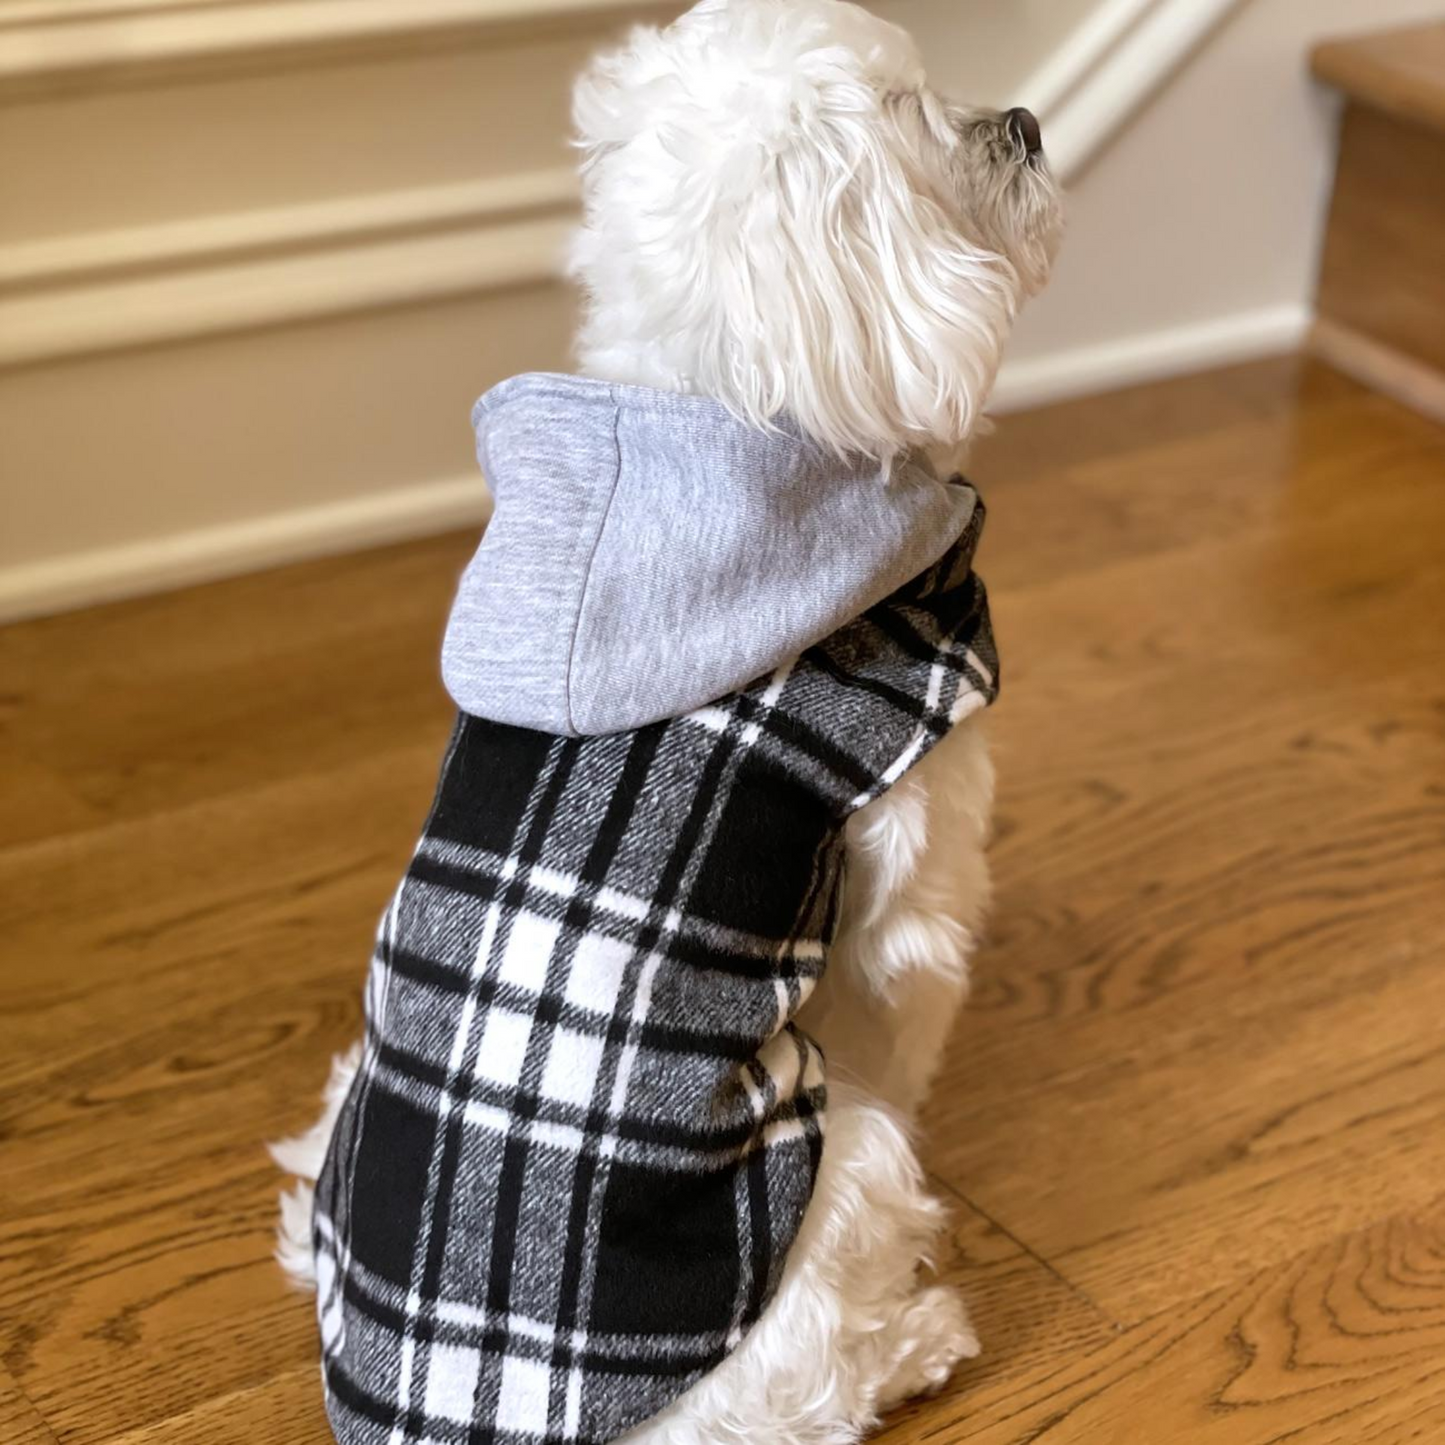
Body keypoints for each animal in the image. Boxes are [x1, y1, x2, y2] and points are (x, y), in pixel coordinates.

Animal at [275, 2, 1063, 1445]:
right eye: (916, 115)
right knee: (827, 1373)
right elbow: (906, 1004)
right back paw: (923, 1337)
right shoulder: (914, 870)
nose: (1029, 122)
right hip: (838, 1172)